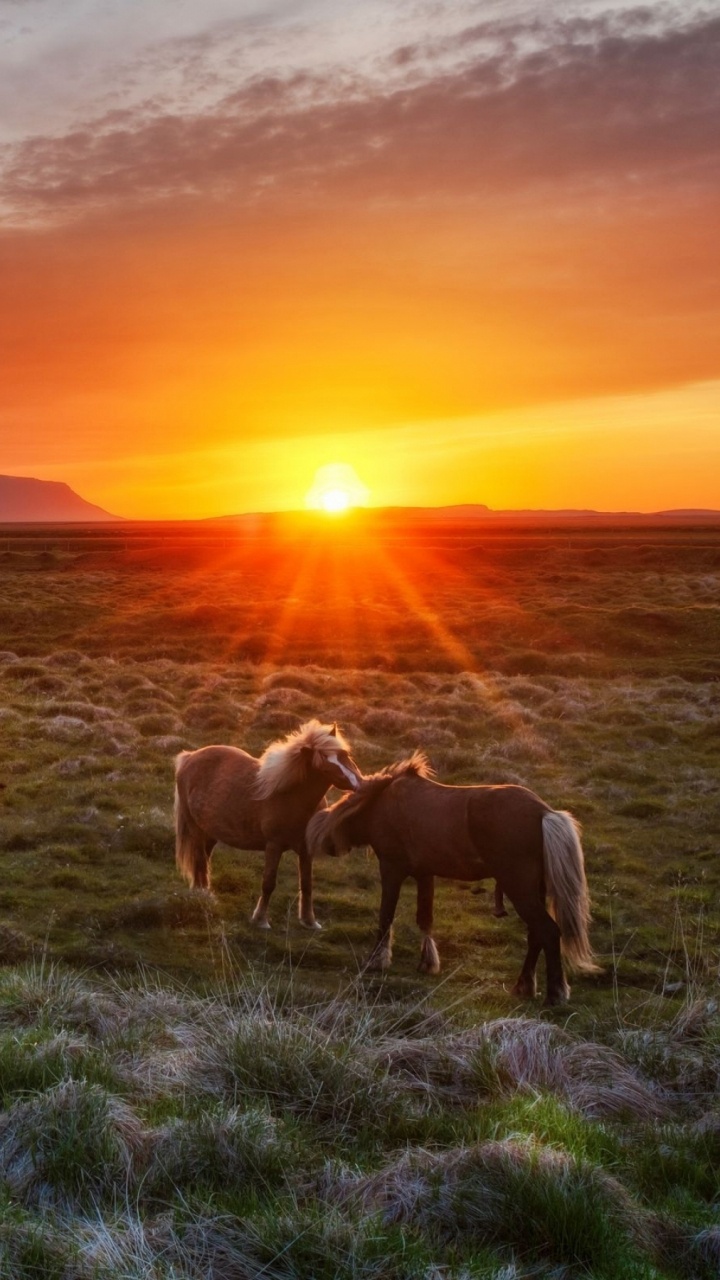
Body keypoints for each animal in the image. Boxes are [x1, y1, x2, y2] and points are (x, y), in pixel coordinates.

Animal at [174, 720, 361, 929]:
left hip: (210, 833)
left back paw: (203, 895)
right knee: (199, 861)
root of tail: (189, 757)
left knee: (203, 862)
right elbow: (268, 882)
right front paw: (260, 920)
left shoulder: (306, 850)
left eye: (344, 755)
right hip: (195, 829)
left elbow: (307, 884)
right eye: (324, 767)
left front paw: (309, 921)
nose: (359, 784)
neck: (292, 796)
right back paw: (203, 898)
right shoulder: (274, 846)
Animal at [307, 753, 600, 1004]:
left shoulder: (391, 869)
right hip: (533, 890)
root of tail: (544, 813)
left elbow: (386, 916)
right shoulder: (425, 874)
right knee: (536, 934)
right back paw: (524, 986)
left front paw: (377, 961)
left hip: (520, 888)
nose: (329, 847)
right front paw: (428, 962)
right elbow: (425, 919)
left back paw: (555, 993)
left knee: (548, 931)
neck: (381, 804)